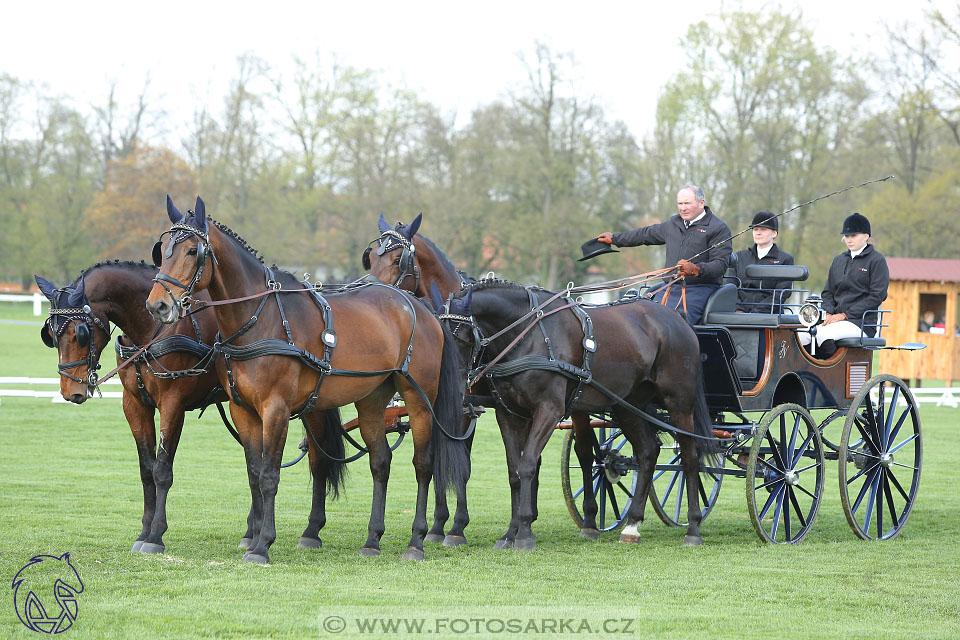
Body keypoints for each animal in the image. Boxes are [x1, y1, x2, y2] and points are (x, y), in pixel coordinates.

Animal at [36, 260, 344, 556]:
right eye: (49, 334)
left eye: (80, 332)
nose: (71, 391)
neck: (152, 331)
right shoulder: (134, 405)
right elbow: (146, 470)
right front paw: (143, 532)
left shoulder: (173, 403)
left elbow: (162, 470)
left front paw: (155, 536)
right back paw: (251, 532)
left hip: (312, 406)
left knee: (318, 462)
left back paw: (311, 531)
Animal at [145, 198, 468, 564]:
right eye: (163, 251)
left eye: (191, 251)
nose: (157, 305)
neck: (261, 318)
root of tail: (421, 307)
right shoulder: (244, 410)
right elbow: (255, 475)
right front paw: (254, 536)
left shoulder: (276, 409)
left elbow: (270, 475)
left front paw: (262, 544)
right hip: (372, 398)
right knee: (380, 461)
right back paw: (372, 539)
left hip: (418, 398)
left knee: (423, 464)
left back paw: (416, 540)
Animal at [432, 280, 716, 552]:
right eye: (440, 337)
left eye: (463, 337)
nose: (454, 388)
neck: (527, 334)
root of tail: (676, 317)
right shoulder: (508, 414)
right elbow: (514, 472)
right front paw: (510, 534)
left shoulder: (549, 410)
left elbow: (528, 465)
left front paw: (524, 532)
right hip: (627, 404)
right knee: (648, 451)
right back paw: (632, 526)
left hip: (679, 404)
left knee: (689, 457)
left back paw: (693, 528)